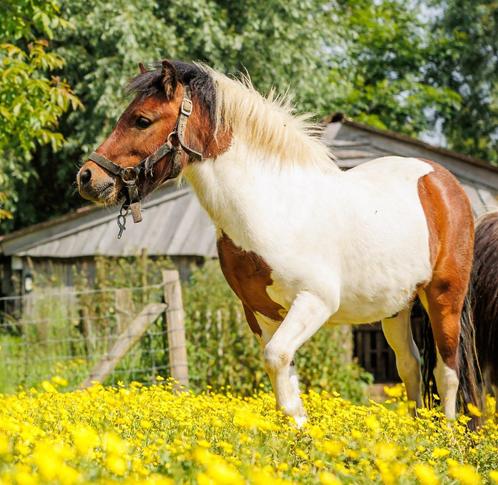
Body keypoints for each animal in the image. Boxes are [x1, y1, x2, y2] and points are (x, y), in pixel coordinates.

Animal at [77, 59, 478, 424]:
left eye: (142, 120)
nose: (87, 177)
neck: (272, 207)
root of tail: (441, 180)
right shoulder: (262, 314)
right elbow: (286, 386)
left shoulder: (314, 302)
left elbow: (277, 362)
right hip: (397, 306)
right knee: (409, 364)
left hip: (444, 296)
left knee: (446, 372)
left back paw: (445, 440)